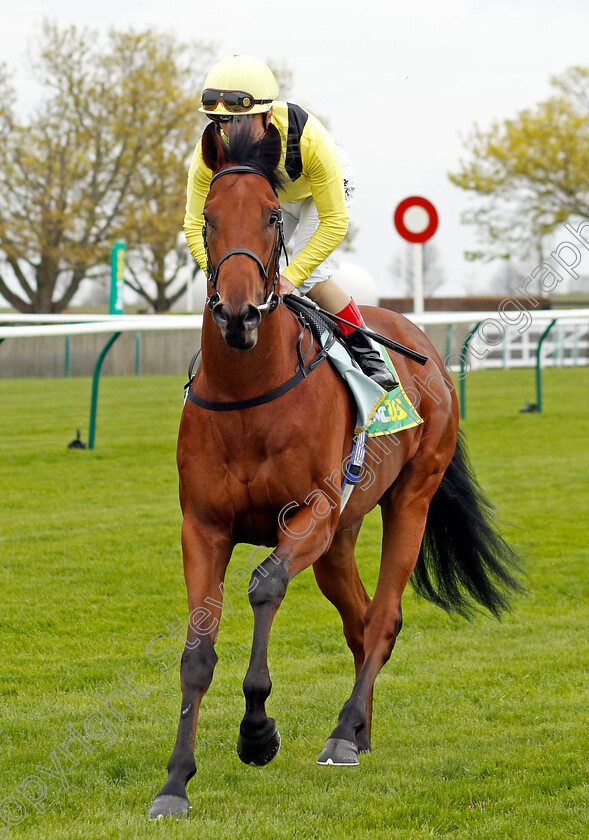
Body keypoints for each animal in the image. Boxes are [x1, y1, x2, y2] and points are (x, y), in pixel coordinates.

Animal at [147, 124, 520, 820]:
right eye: (207, 218)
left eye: (272, 215)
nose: (237, 314)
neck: (249, 393)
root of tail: (424, 346)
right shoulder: (204, 526)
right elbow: (196, 653)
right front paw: (175, 782)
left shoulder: (311, 514)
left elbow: (264, 585)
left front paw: (257, 732)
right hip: (339, 540)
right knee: (359, 620)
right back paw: (361, 729)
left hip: (410, 498)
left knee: (383, 620)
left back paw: (345, 733)